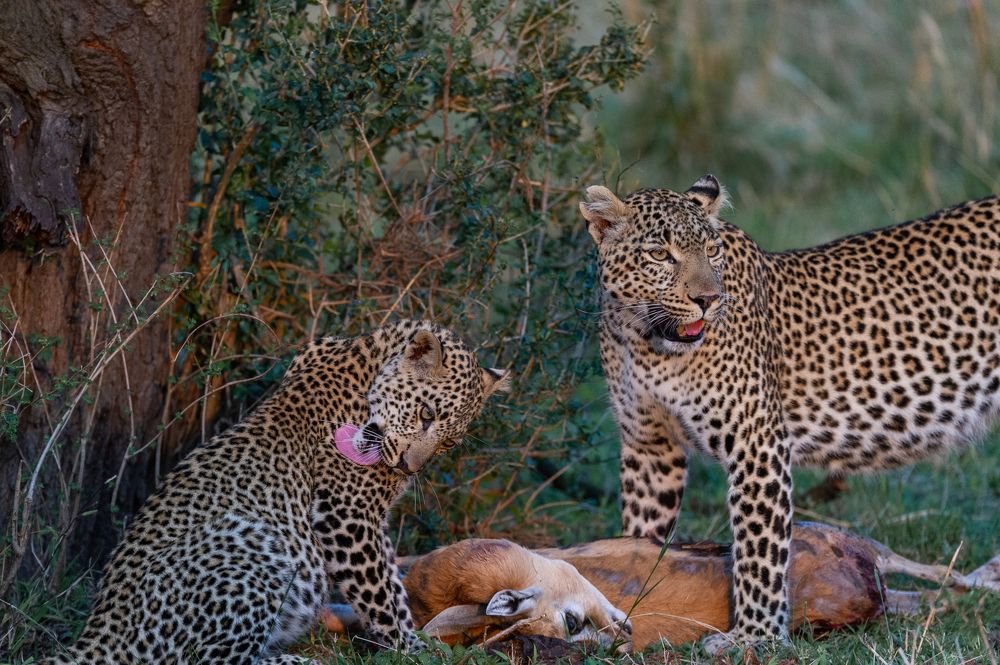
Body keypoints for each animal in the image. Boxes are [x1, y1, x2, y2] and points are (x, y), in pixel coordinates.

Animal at [41, 320, 509, 664]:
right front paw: (408, 649)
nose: (408, 467)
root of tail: (100, 631)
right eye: (426, 413)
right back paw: (299, 662)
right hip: (255, 545)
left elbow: (393, 581)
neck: (369, 357)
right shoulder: (345, 514)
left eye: (449, 442)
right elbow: (379, 592)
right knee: (202, 659)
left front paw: (417, 641)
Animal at [579, 176, 1000, 652]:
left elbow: (758, 550)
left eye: (711, 250)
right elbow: (641, 529)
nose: (707, 300)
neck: (645, 342)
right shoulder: (650, 445)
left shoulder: (755, 442)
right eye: (659, 254)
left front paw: (753, 636)